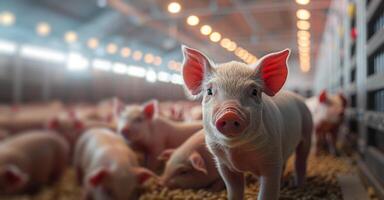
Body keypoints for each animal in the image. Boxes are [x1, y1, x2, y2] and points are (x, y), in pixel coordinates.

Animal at [180, 45, 312, 200]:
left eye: (254, 91)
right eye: (209, 91)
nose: (229, 113)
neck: (236, 150)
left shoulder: (272, 160)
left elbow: (268, 191)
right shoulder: (223, 164)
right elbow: (233, 189)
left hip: (308, 130)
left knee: (301, 160)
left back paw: (298, 186)